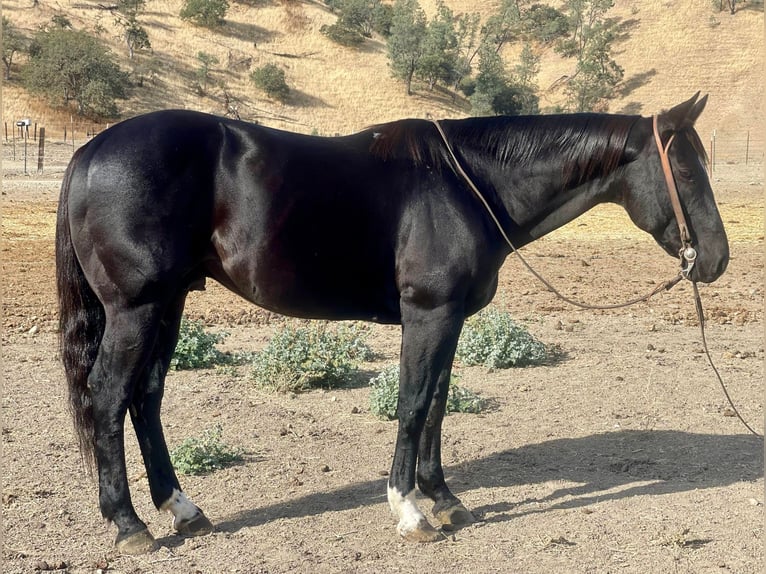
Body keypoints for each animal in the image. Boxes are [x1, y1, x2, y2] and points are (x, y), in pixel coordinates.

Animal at [57, 93, 728, 552]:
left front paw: (445, 499)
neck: (468, 184)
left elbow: (437, 404)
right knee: (108, 395)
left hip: (169, 304)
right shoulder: (427, 313)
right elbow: (411, 404)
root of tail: (90, 150)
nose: (717, 259)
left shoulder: (449, 317)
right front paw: (409, 511)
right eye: (685, 170)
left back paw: (183, 509)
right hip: (137, 308)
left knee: (145, 398)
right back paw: (129, 524)